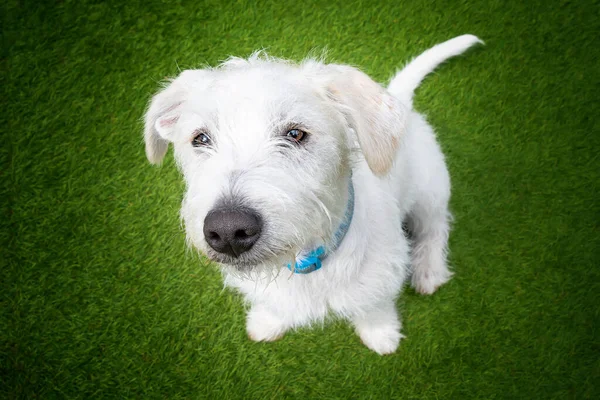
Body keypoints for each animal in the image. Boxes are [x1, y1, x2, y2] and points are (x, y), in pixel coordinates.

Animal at [144, 33, 482, 354]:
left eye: (296, 134)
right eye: (200, 138)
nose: (228, 231)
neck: (307, 259)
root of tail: (402, 101)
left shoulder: (381, 277)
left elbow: (374, 307)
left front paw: (381, 334)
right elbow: (273, 304)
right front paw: (267, 322)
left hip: (430, 192)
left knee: (436, 227)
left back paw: (429, 270)